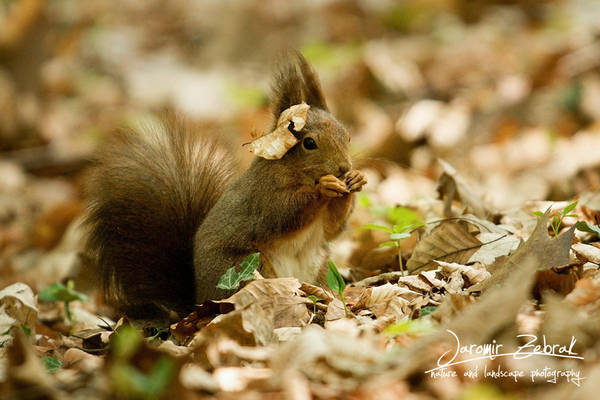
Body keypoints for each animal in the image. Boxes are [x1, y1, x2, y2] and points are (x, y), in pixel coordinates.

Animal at [83, 53, 366, 318]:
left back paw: (325, 295)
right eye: (309, 143)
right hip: (245, 268)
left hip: (318, 263)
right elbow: (282, 214)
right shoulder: (263, 195)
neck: (296, 171)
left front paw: (354, 182)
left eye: (347, 135)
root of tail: (198, 302)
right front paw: (323, 189)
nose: (343, 168)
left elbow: (333, 229)